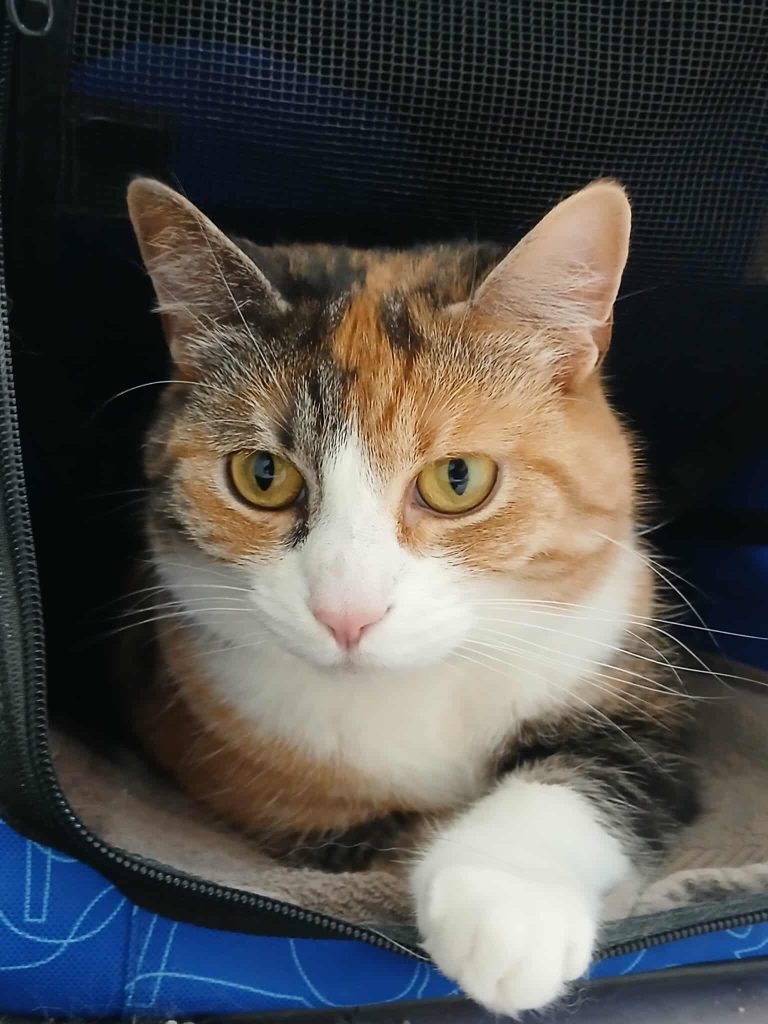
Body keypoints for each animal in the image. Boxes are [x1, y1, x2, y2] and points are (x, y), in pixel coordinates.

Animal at [123, 177, 698, 1017]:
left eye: (458, 479)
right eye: (263, 475)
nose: (347, 613)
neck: (418, 689)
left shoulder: (638, 687)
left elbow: (604, 770)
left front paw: (505, 906)